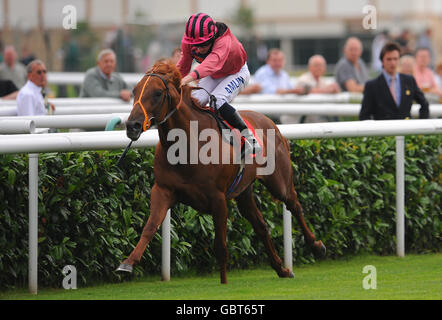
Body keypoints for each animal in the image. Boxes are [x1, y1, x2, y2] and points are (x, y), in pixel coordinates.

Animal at [117, 62, 324, 282]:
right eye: (134, 91)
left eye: (157, 93)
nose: (132, 126)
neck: (188, 145)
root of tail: (271, 123)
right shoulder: (163, 190)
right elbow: (149, 227)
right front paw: (127, 263)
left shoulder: (218, 199)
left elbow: (221, 246)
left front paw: (223, 282)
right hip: (244, 192)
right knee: (261, 226)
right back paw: (282, 269)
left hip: (279, 181)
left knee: (294, 204)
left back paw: (317, 246)